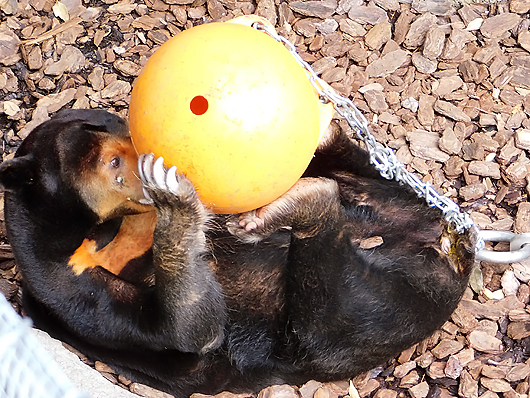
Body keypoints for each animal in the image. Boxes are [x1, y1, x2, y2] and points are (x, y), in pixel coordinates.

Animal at [0, 109, 474, 398]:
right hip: (369, 320)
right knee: (337, 305)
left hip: (388, 206)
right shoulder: (63, 278)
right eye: (113, 166)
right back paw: (306, 205)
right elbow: (187, 328)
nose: (160, 161)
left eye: (128, 132)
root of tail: (446, 246)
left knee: (359, 171)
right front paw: (176, 203)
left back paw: (324, 136)